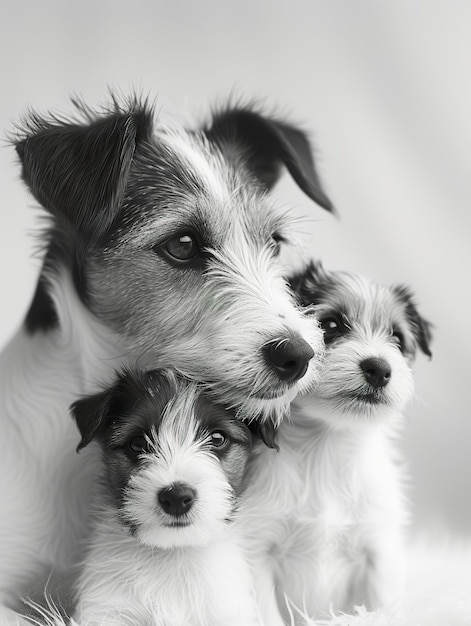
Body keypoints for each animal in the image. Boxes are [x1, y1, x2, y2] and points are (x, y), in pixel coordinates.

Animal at [238, 258, 434, 620]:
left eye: (398, 339)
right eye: (330, 325)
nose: (379, 368)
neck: (327, 445)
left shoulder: (379, 552)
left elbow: (382, 609)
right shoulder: (257, 551)